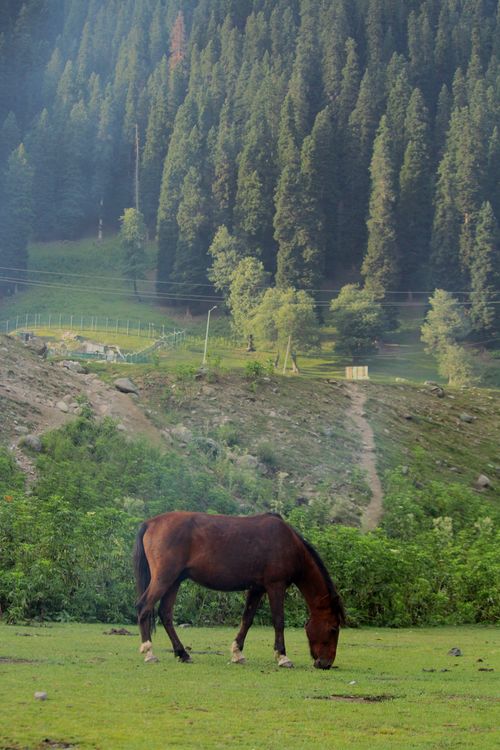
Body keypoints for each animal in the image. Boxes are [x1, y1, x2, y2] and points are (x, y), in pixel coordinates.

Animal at [133, 511, 345, 669]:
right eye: (333, 628)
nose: (326, 663)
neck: (289, 544)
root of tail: (151, 523)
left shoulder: (257, 589)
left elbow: (247, 620)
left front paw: (237, 653)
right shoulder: (275, 586)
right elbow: (278, 620)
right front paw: (283, 657)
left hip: (174, 581)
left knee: (165, 614)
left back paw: (182, 653)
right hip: (164, 579)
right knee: (144, 607)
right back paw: (149, 652)